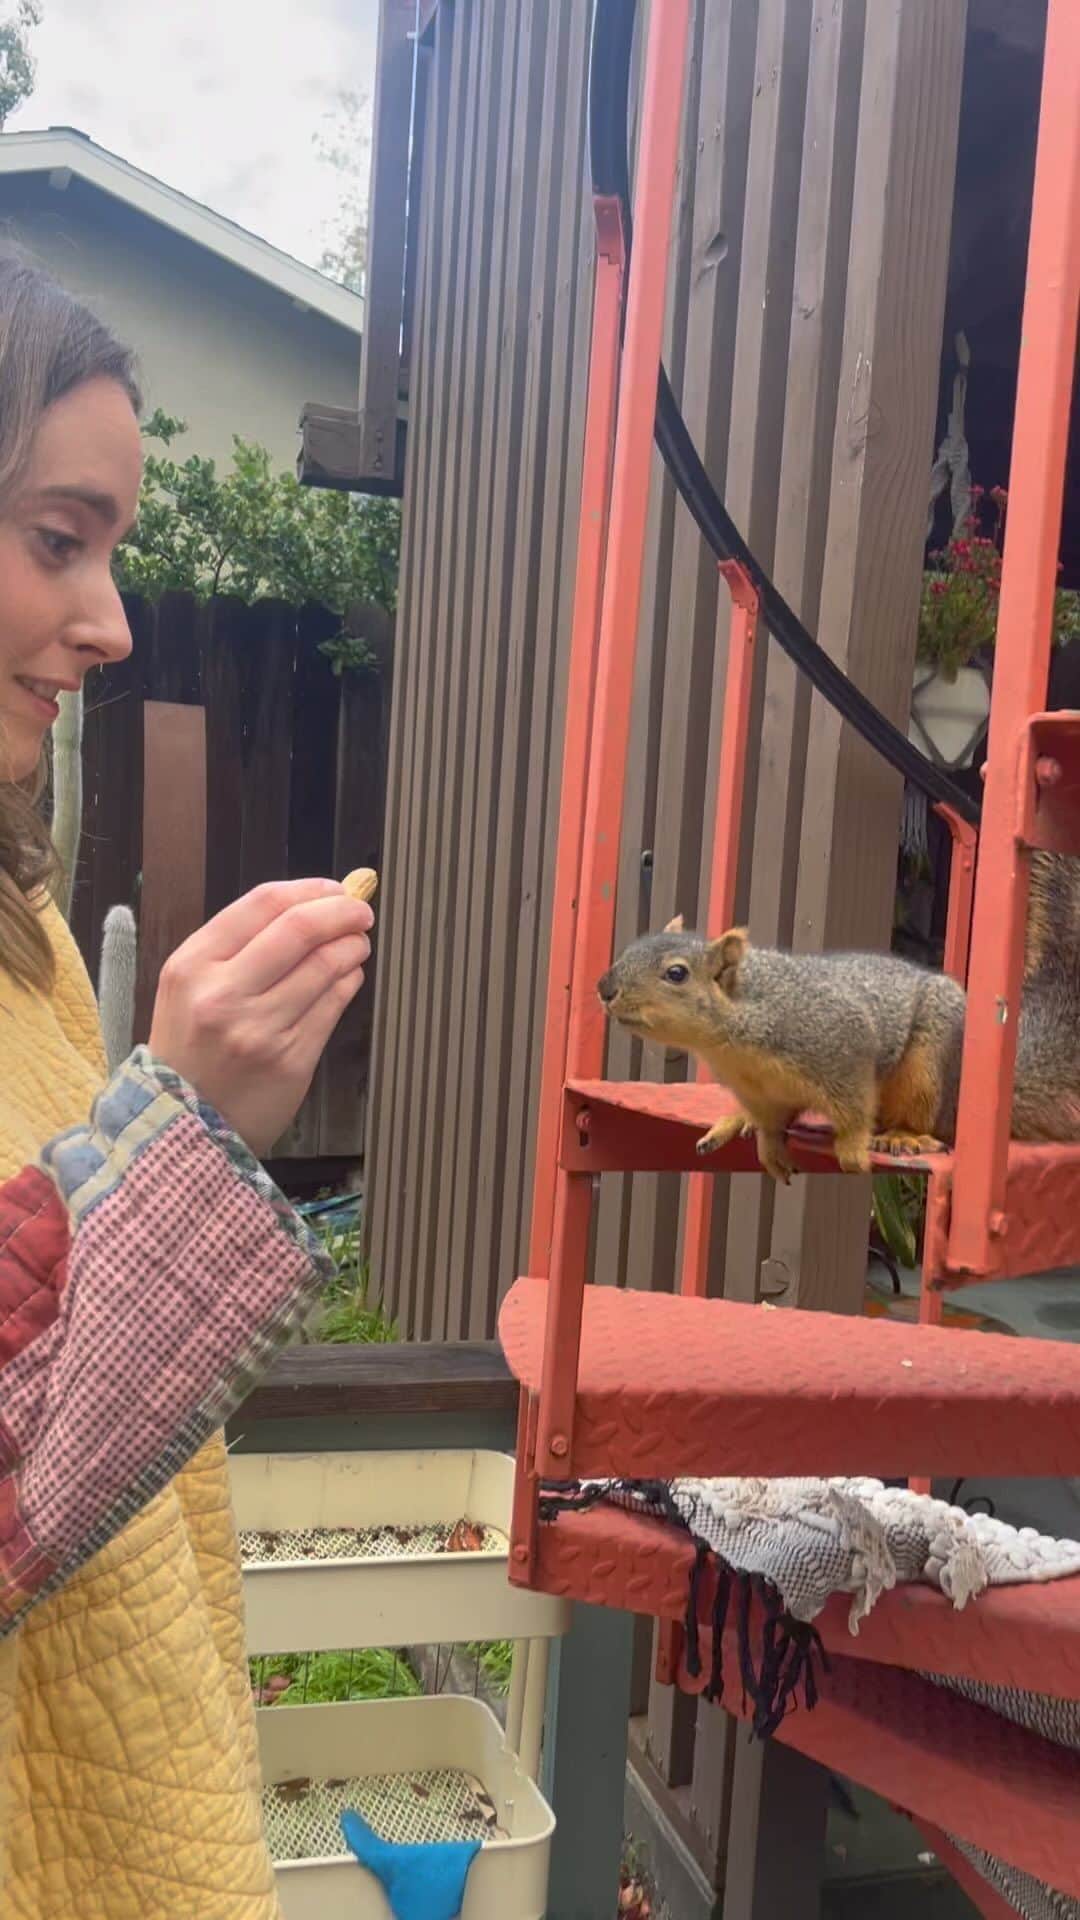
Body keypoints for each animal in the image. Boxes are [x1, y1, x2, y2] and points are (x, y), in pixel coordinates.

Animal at [596, 851, 1080, 1183]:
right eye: (631, 946)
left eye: (676, 974)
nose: (604, 988)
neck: (735, 1041)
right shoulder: (762, 1092)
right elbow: (771, 1124)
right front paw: (768, 1144)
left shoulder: (843, 1048)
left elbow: (853, 1110)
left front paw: (850, 1149)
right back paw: (739, 1121)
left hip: (928, 1070)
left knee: (919, 1113)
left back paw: (903, 1136)